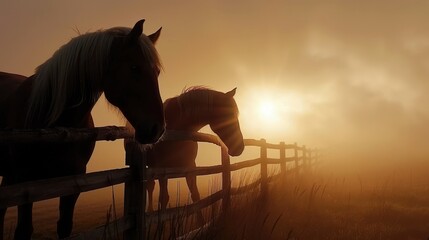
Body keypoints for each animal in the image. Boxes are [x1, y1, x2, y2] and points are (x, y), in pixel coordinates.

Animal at [0, 19, 165, 239]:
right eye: (134, 67)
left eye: (157, 72)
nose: (157, 128)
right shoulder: (25, 185)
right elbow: (24, 230)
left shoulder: (73, 183)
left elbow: (65, 227)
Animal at [124, 87, 244, 215]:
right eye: (228, 114)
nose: (239, 147)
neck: (177, 131)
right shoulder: (162, 168)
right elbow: (164, 198)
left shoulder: (190, 166)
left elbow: (195, 196)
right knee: (151, 187)